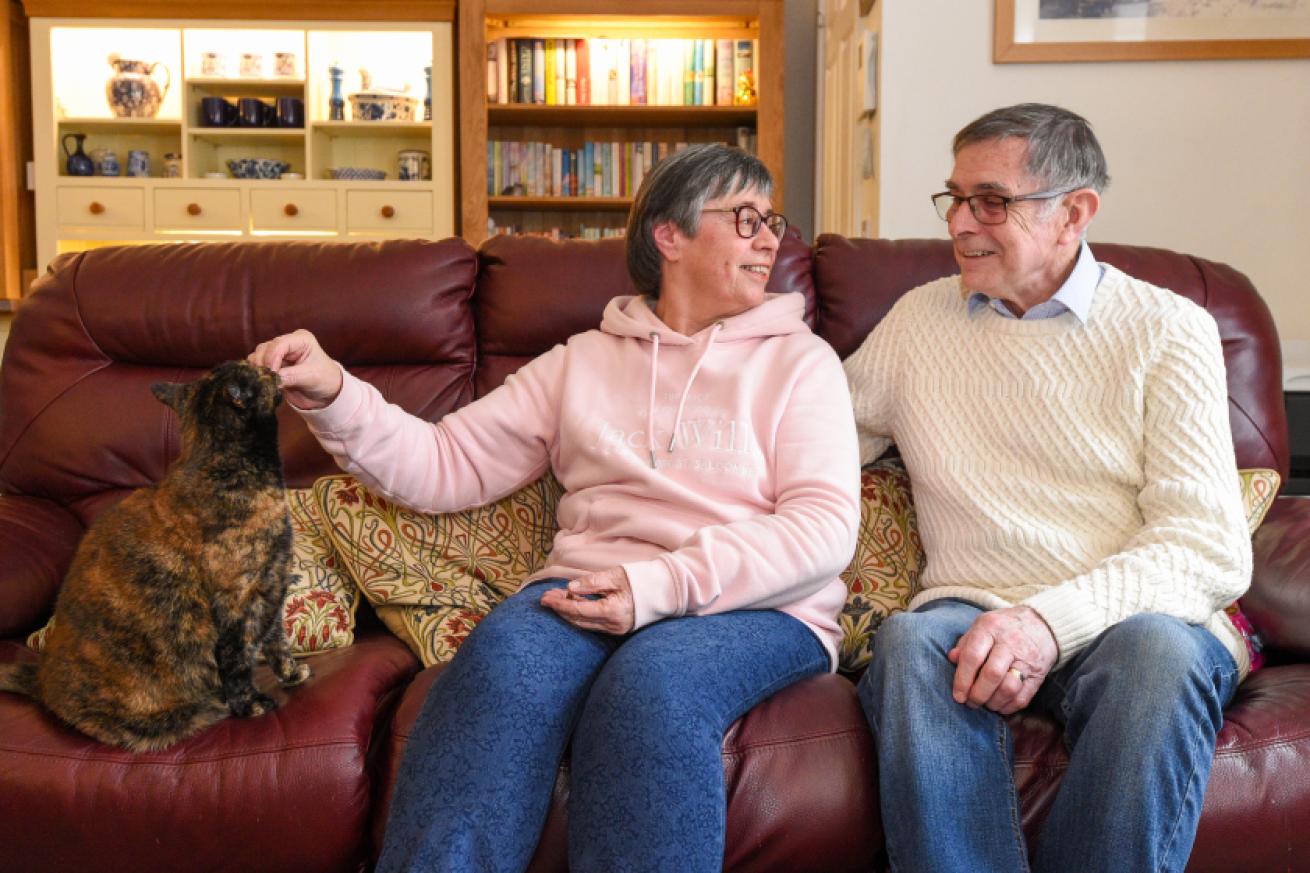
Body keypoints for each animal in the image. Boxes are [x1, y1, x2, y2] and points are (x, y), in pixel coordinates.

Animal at [0, 359, 309, 749]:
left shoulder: (271, 582)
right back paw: (208, 708)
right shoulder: (239, 597)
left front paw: (292, 671)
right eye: (257, 370)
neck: (218, 462)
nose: (274, 369)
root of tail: (41, 680)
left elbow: (276, 638)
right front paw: (250, 703)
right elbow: (238, 657)